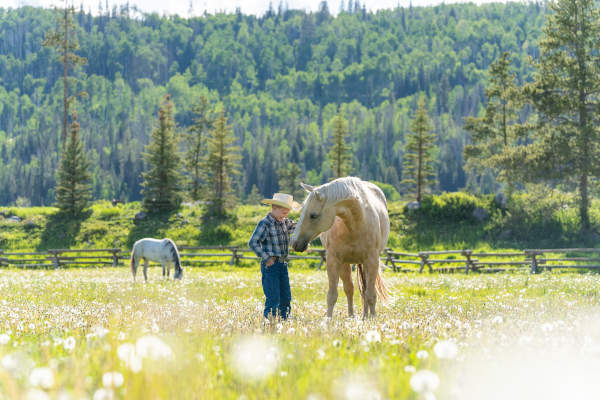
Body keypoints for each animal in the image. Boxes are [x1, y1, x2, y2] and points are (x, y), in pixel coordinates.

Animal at [290, 177, 390, 318]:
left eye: (313, 215)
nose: (294, 242)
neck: (355, 224)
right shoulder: (334, 260)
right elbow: (332, 295)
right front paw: (328, 319)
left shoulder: (372, 261)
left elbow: (371, 294)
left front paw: (373, 318)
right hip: (345, 264)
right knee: (350, 289)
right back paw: (352, 316)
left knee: (364, 289)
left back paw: (365, 316)